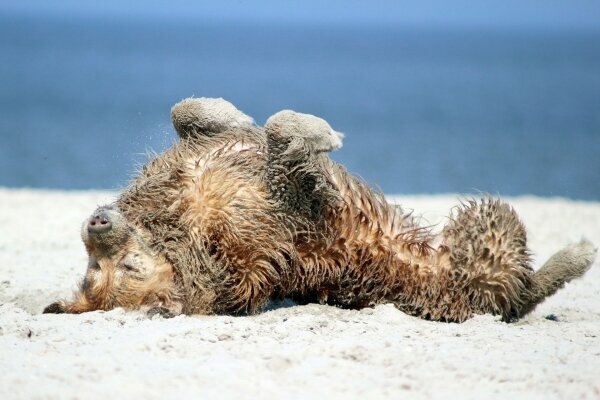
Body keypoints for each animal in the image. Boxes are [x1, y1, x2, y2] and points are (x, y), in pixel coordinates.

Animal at [44, 98, 596, 324]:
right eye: (114, 270)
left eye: (98, 266)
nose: (97, 222)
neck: (180, 228)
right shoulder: (285, 210)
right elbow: (284, 137)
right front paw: (317, 132)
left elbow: (196, 114)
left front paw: (229, 113)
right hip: (483, 237)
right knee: (521, 288)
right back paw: (576, 255)